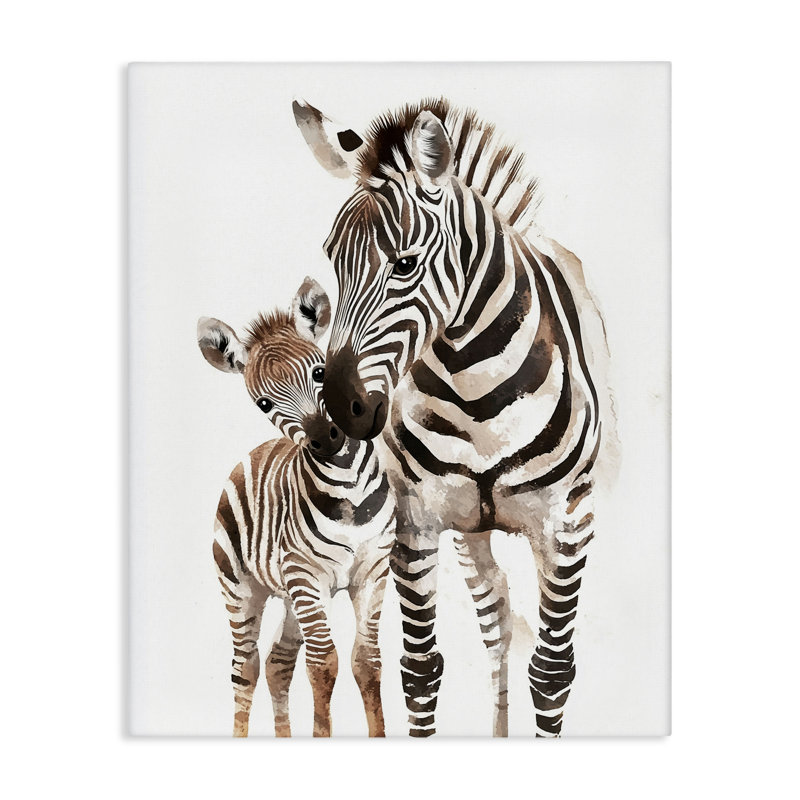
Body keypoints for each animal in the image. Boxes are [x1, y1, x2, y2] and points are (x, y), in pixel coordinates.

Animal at [197, 278, 395, 737]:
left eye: (320, 372)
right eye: (263, 404)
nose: (326, 439)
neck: (349, 489)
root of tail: (257, 450)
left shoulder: (373, 573)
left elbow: (367, 662)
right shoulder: (308, 577)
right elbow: (323, 665)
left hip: (289, 593)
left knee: (278, 663)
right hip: (243, 586)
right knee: (246, 667)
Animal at [292, 98, 617, 737]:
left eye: (405, 265)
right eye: (332, 259)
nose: (341, 409)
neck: (478, 395)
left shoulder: (567, 522)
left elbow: (552, 673)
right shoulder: (414, 522)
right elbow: (420, 672)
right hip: (472, 531)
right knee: (498, 619)